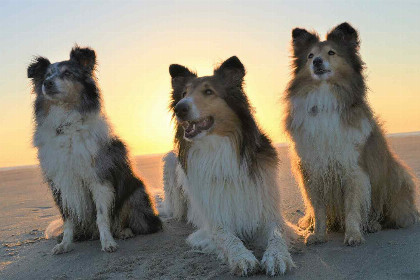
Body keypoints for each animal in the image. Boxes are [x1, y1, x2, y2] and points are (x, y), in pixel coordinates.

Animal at [26, 45, 161, 254]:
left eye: (67, 73)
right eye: (47, 75)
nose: (47, 84)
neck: (67, 125)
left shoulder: (99, 178)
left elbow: (102, 216)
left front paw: (108, 243)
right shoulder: (62, 183)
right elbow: (68, 219)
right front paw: (65, 244)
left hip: (136, 192)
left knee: (126, 219)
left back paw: (124, 232)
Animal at [162, 56, 294, 276]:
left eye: (208, 91)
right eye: (183, 94)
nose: (179, 108)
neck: (218, 150)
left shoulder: (267, 211)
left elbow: (277, 233)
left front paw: (276, 257)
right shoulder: (214, 222)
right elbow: (227, 237)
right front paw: (242, 257)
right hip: (171, 165)